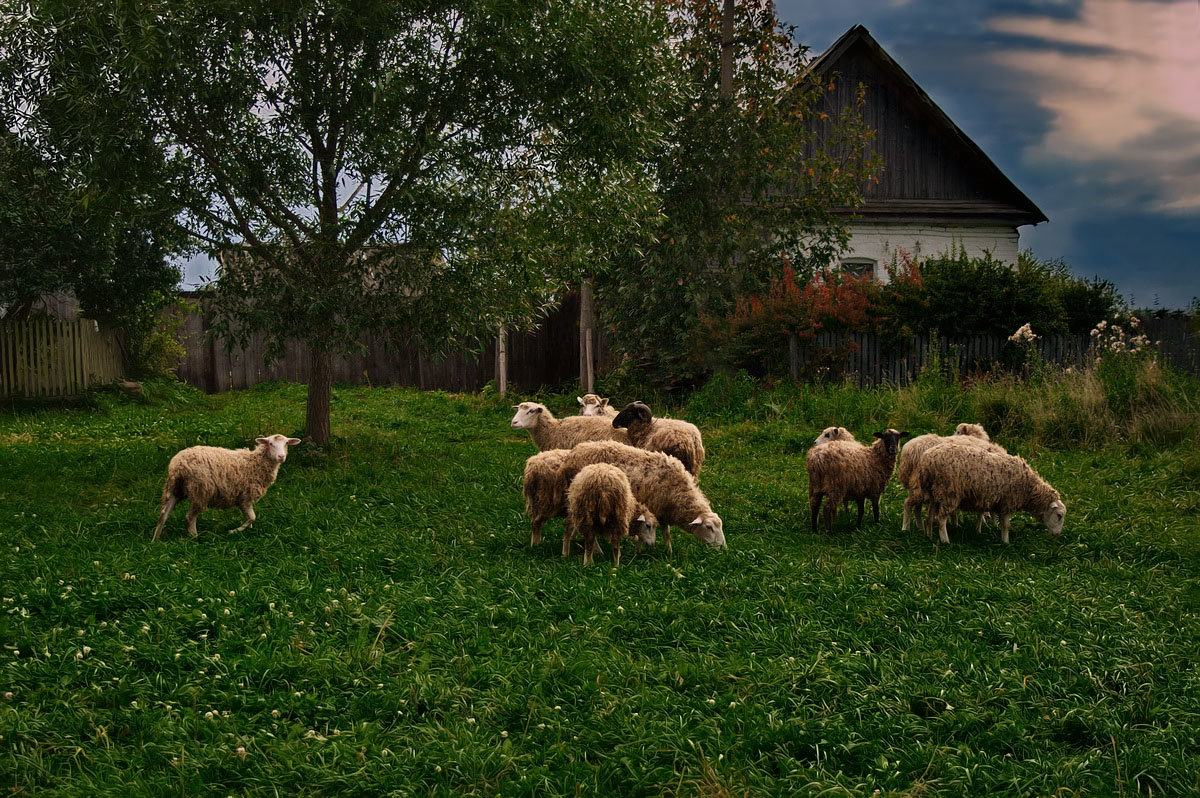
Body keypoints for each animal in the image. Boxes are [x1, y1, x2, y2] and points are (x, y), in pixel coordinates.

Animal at [152, 432, 300, 537]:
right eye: (270, 443)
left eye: (286, 443)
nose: (281, 457)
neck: (255, 463)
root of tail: (178, 464)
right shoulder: (245, 496)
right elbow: (252, 518)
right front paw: (234, 531)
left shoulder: (242, 498)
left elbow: (249, 517)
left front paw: (248, 532)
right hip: (201, 491)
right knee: (190, 516)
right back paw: (194, 537)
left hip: (174, 488)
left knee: (164, 514)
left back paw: (156, 539)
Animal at [559, 439, 720, 552]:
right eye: (709, 527)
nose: (721, 548)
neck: (679, 492)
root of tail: (573, 454)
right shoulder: (656, 508)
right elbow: (658, 531)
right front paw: (641, 550)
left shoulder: (663, 511)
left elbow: (665, 533)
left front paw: (668, 552)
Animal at [912, 444, 1065, 544]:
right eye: (1059, 515)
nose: (1057, 534)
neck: (1029, 487)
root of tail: (927, 460)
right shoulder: (1006, 503)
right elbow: (1006, 525)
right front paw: (1006, 543)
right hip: (949, 493)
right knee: (941, 519)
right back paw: (945, 540)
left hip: (934, 493)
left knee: (929, 516)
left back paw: (929, 535)